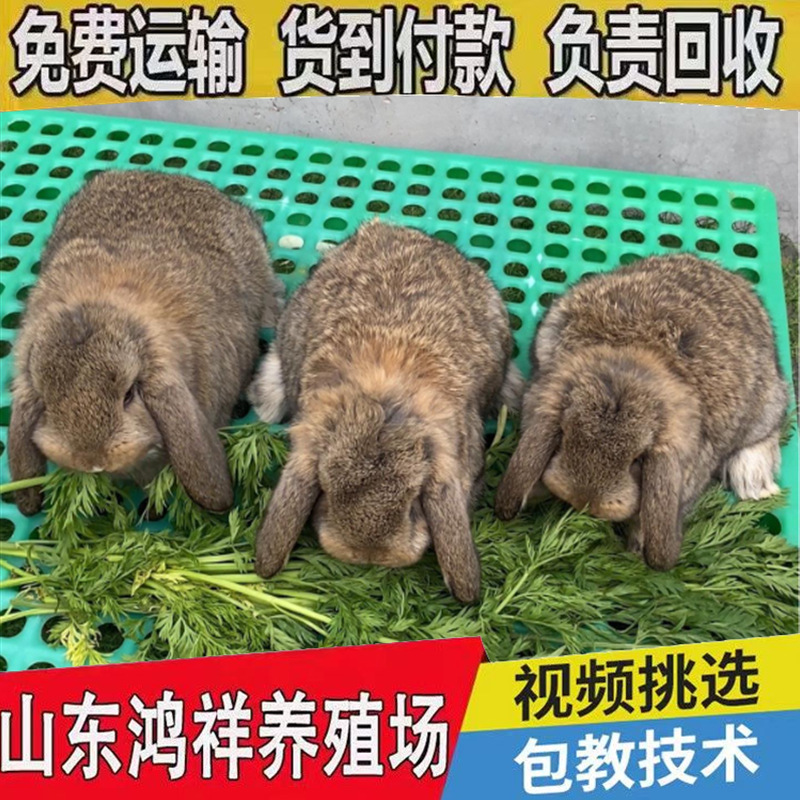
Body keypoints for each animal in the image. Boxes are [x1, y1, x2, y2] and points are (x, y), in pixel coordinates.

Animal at [495, 254, 789, 570]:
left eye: (637, 460)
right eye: (564, 435)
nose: (585, 499)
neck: (635, 354)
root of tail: (731, 277)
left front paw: (634, 551)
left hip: (765, 408)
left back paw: (753, 481)